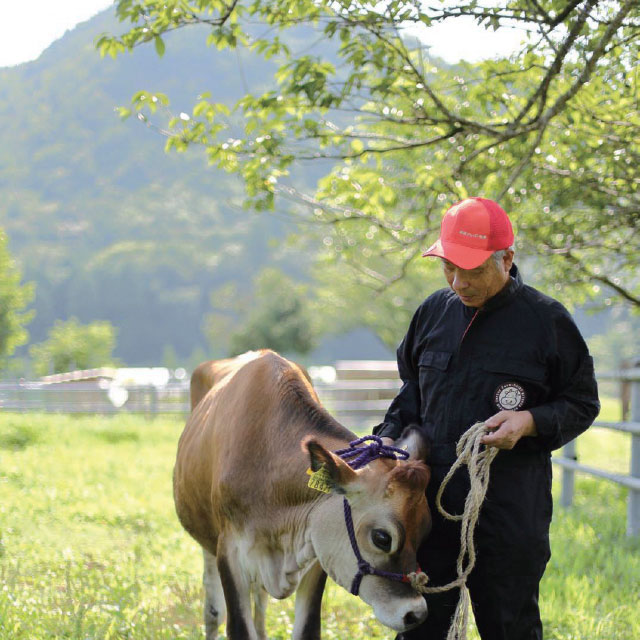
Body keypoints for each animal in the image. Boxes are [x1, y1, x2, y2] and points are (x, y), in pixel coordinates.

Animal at [176, 350, 430, 640]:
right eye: (382, 538)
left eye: (426, 531)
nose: (416, 613)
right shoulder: (230, 554)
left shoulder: (316, 558)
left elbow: (307, 628)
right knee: (213, 610)